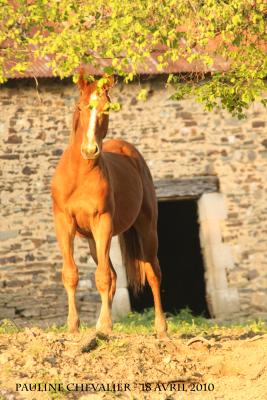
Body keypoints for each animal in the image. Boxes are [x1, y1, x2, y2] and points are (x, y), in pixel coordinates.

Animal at [50, 75, 168, 338]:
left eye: (107, 108)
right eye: (80, 107)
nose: (89, 149)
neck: (79, 175)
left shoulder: (102, 221)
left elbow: (102, 277)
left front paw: (104, 325)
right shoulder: (64, 223)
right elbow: (71, 274)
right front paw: (74, 326)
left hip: (146, 229)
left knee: (153, 274)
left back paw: (161, 328)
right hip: (93, 241)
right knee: (114, 275)